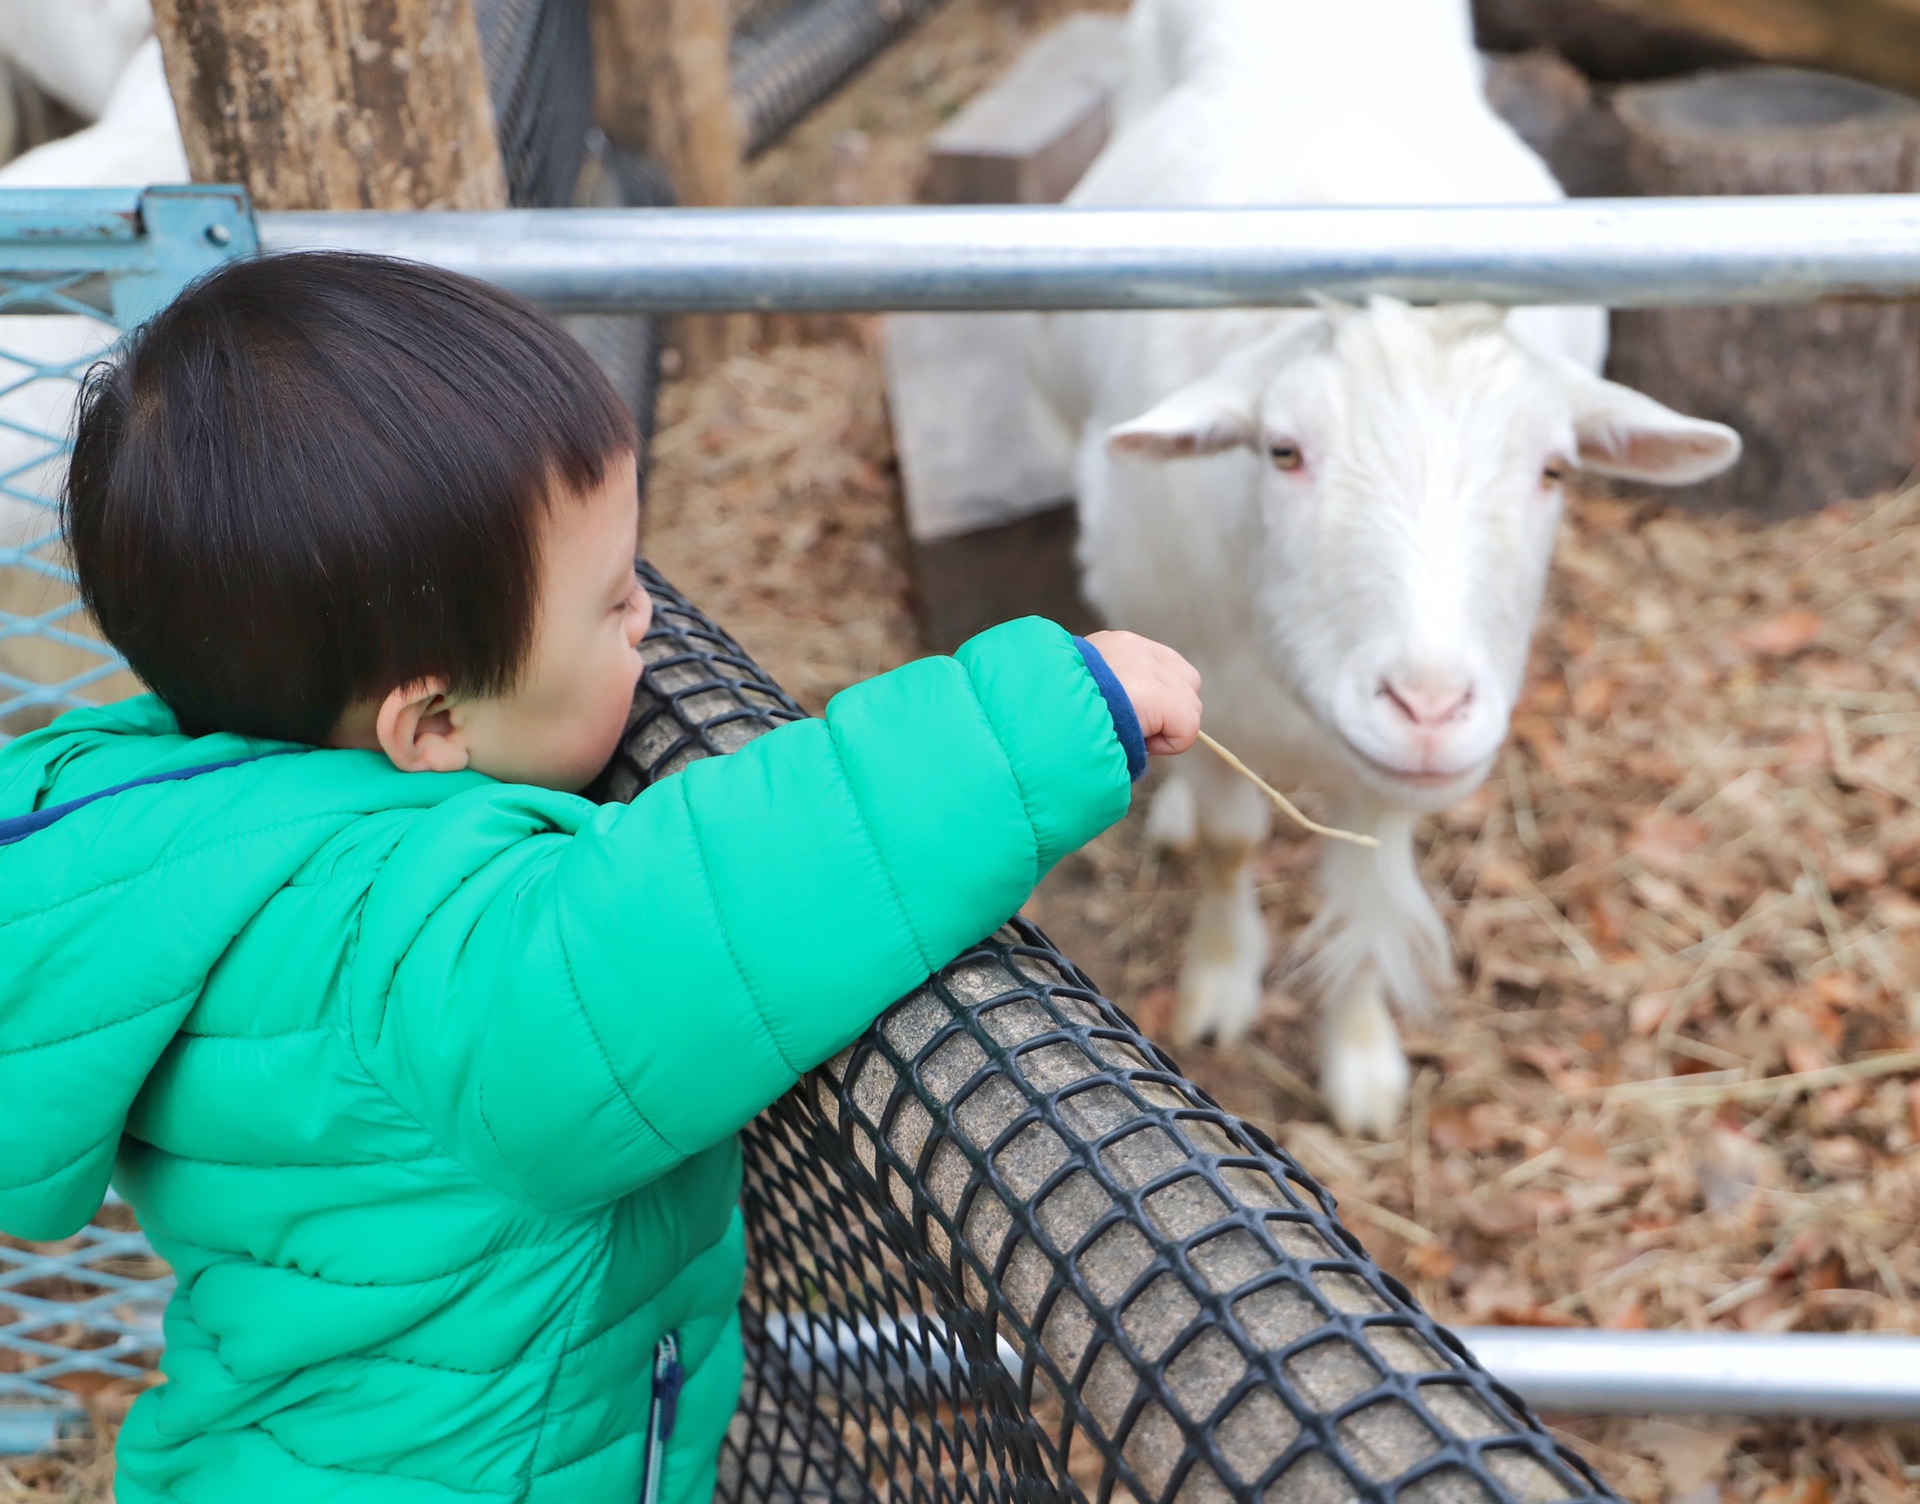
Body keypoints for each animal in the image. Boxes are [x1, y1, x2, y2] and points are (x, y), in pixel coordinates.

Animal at [1036, 0, 1743, 1137]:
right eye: (1282, 451)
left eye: (1553, 469)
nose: (1429, 706)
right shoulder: (1208, 687)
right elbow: (1231, 845)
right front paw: (1219, 984)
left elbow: (1369, 904)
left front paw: (1361, 1063)